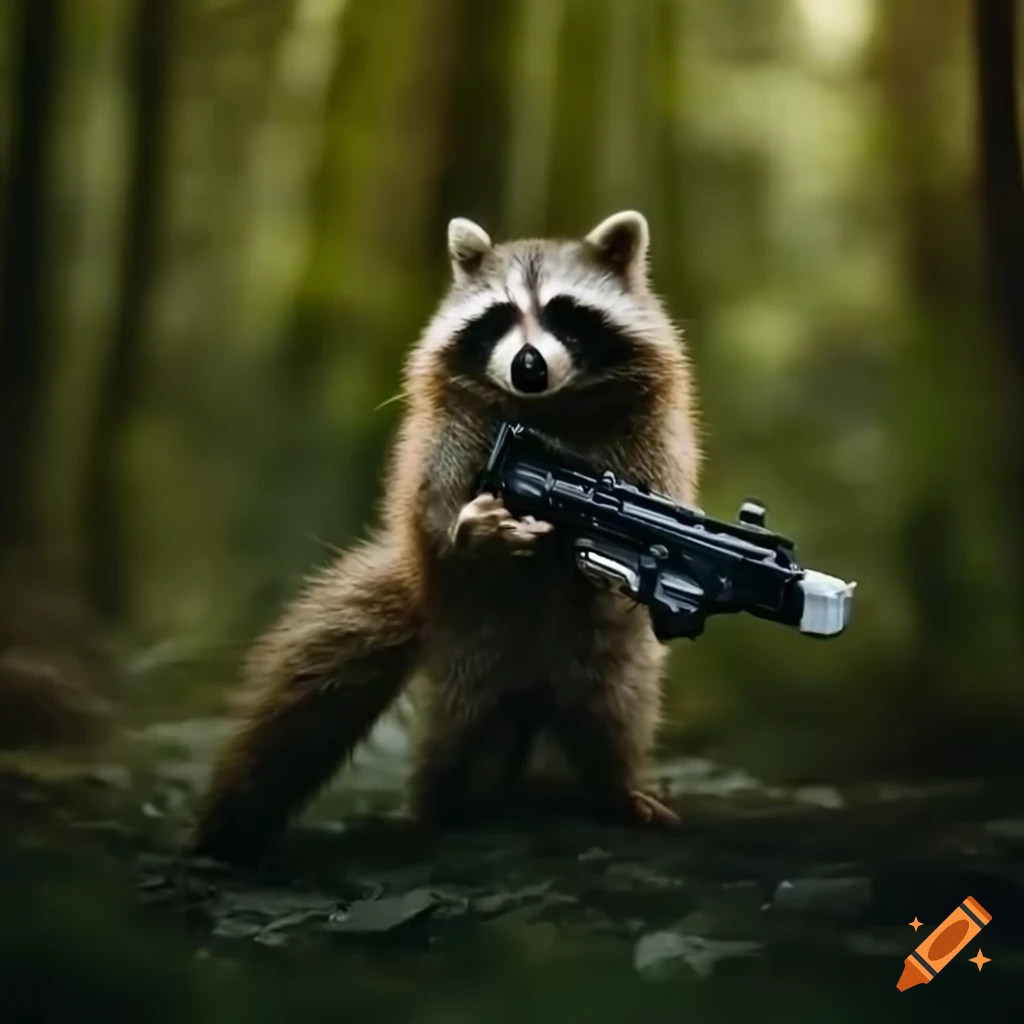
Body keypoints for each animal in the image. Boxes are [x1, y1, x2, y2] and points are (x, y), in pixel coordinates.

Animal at [191, 211, 701, 864]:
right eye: (501, 315)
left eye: (563, 311)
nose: (528, 367)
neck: (546, 408)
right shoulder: (449, 429)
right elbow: (431, 504)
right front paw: (467, 528)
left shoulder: (648, 427)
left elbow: (660, 494)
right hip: (471, 649)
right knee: (456, 738)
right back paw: (443, 803)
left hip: (613, 661)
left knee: (615, 716)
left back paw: (613, 788)